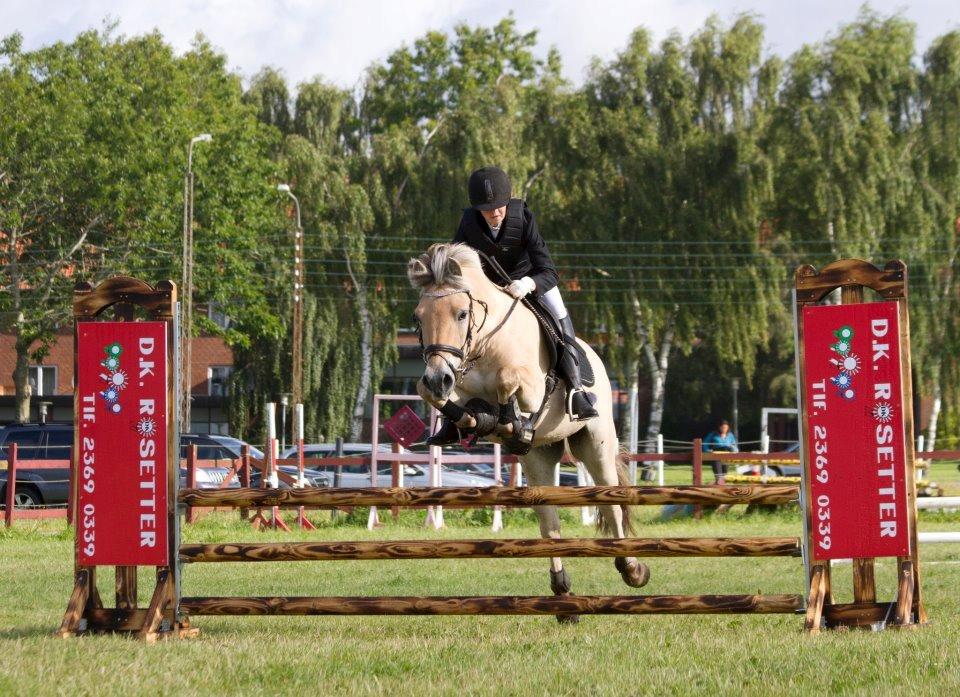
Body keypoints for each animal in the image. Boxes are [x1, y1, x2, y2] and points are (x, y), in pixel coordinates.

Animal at [408, 241, 648, 620]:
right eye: (419, 317)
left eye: (461, 314)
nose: (439, 376)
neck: (484, 344)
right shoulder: (452, 382)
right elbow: (433, 394)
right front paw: (475, 421)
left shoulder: (533, 387)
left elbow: (509, 380)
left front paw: (506, 418)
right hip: (539, 456)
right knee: (549, 521)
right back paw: (563, 596)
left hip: (594, 443)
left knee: (610, 502)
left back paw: (632, 568)